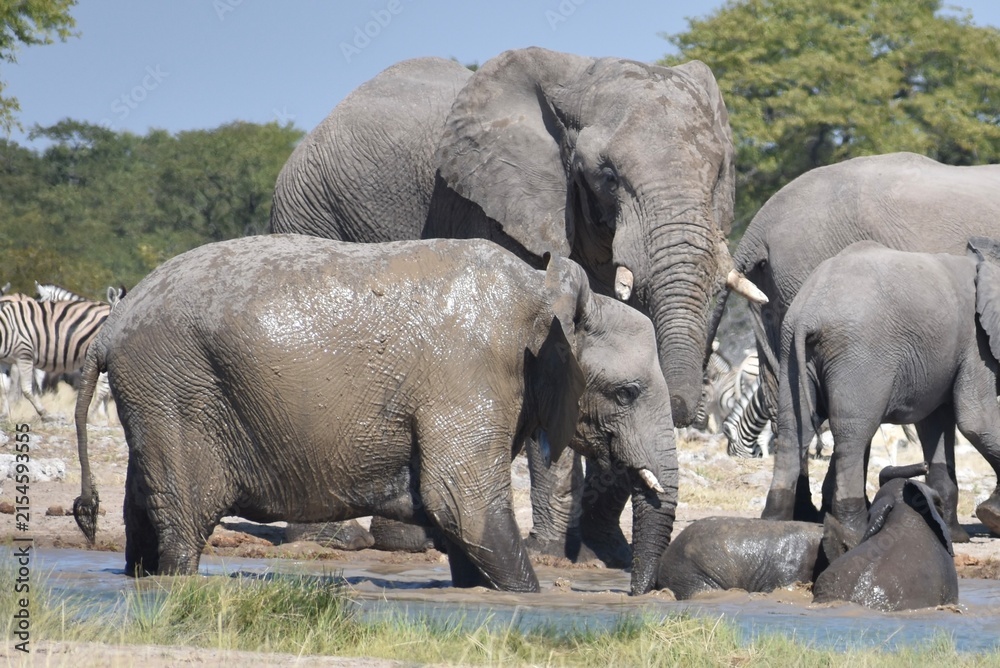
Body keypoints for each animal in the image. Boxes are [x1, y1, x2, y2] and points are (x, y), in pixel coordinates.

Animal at [72, 235, 678, 595]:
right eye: (626, 393)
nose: (632, 594)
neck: (543, 292)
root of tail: (108, 330)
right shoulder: (469, 376)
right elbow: (463, 504)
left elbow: (457, 522)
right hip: (174, 389)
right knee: (182, 524)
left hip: (154, 399)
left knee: (142, 515)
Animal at [270, 48, 765, 563]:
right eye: (608, 176)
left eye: (719, 174)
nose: (692, 406)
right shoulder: (496, 210)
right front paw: (551, 552)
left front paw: (603, 554)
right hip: (309, 208)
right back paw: (333, 542)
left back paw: (408, 541)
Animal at [770, 239, 1000, 545]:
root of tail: (809, 311)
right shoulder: (976, 343)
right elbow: (976, 421)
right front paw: (990, 516)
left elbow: (935, 423)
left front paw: (956, 535)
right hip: (859, 353)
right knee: (853, 434)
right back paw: (855, 529)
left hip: (791, 353)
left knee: (793, 430)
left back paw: (774, 522)